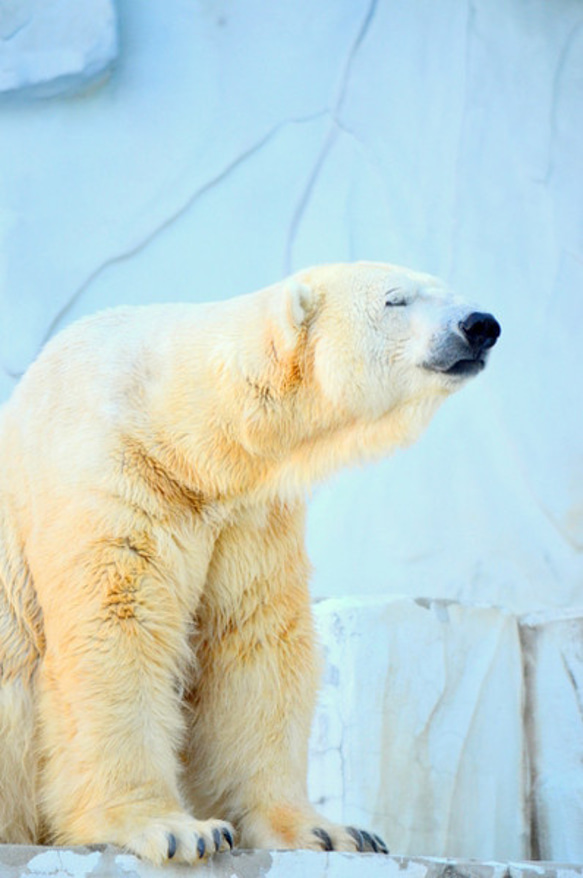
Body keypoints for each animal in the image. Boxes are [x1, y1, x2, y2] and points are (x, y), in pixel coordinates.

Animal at [0, 262, 502, 868]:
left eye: (447, 287)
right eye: (396, 300)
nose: (481, 324)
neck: (183, 431)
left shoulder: (249, 513)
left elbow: (253, 644)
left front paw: (331, 832)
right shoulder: (111, 471)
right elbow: (116, 626)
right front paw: (173, 830)